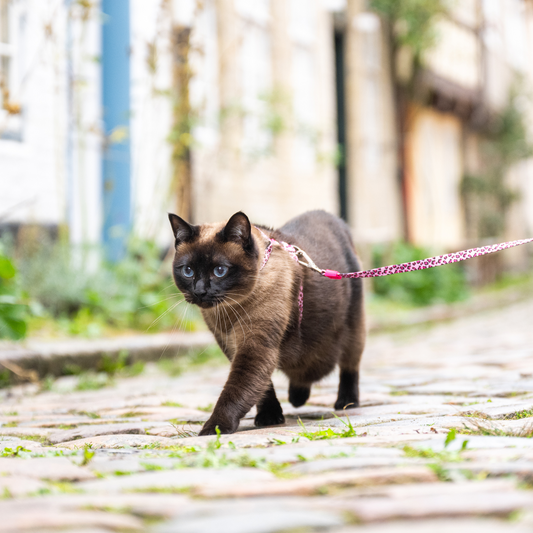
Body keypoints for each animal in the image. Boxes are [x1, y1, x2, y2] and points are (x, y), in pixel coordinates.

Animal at [168, 208, 364, 432]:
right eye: (188, 271)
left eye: (220, 271)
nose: (199, 291)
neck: (228, 313)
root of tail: (329, 215)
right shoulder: (231, 346)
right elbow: (264, 389)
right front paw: (270, 417)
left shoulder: (255, 347)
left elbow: (236, 391)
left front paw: (214, 428)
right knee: (304, 375)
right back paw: (297, 398)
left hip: (353, 331)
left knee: (349, 366)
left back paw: (346, 402)